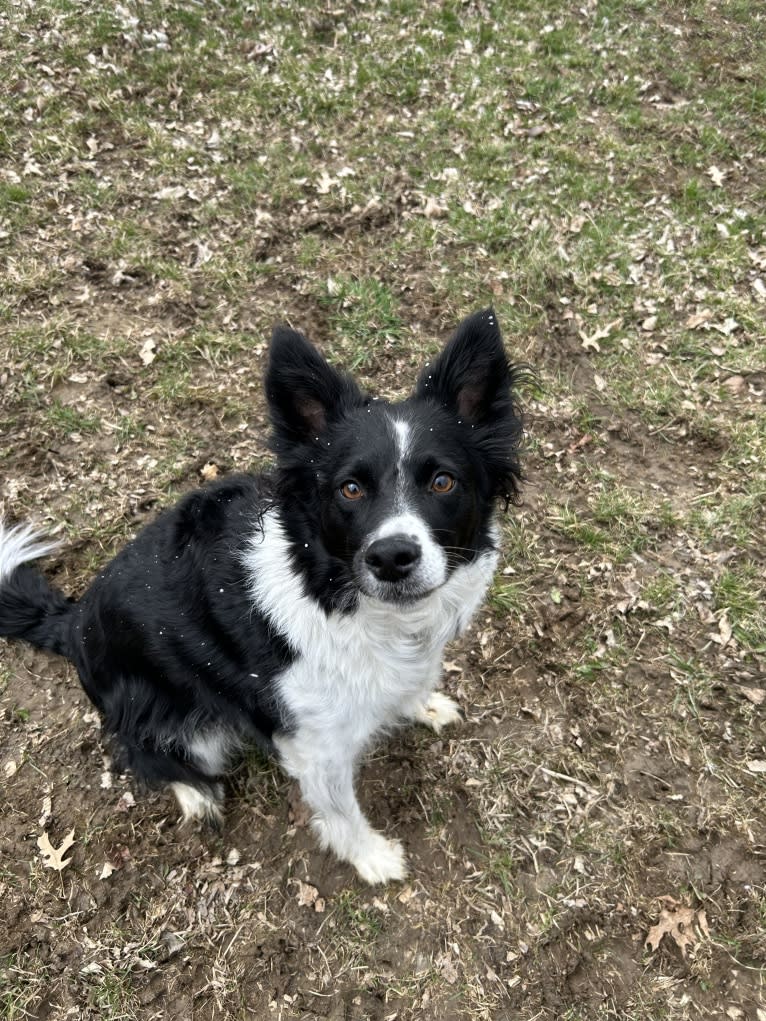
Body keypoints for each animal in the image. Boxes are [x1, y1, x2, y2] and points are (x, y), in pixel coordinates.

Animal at [0, 306, 527, 882]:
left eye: (442, 482)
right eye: (350, 489)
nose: (391, 558)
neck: (343, 600)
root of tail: (74, 624)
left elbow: (408, 686)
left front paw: (421, 704)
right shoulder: (316, 748)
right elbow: (340, 813)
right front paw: (370, 857)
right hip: (178, 723)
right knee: (140, 753)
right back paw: (195, 795)